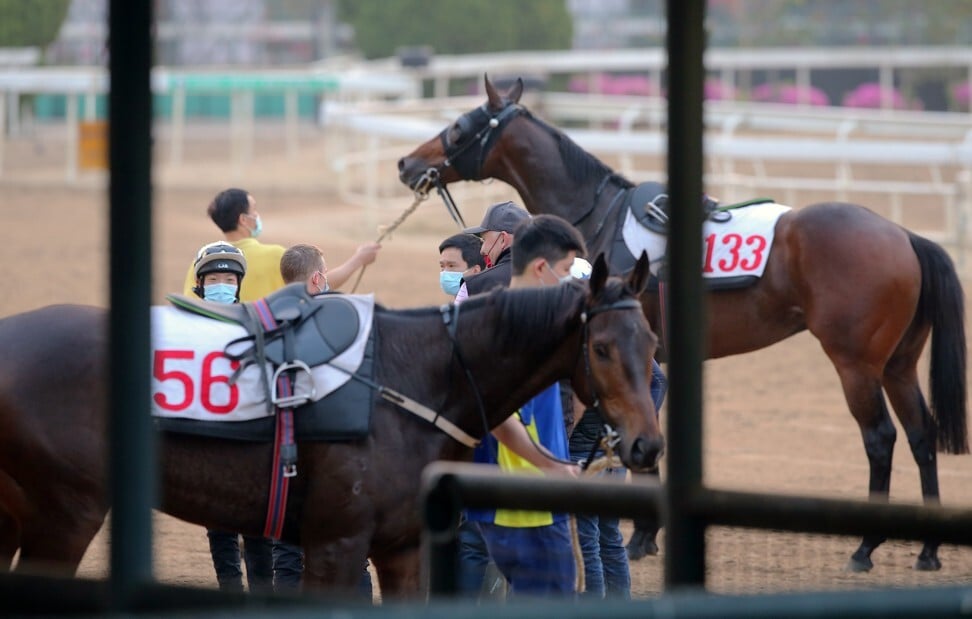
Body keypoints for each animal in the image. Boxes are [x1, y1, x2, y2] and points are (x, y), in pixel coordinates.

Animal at [0, 256, 660, 596]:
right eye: (602, 348)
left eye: (651, 341)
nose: (646, 443)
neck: (408, 374)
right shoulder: (335, 545)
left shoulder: (400, 547)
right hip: (68, 514)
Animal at [398, 72, 968, 572]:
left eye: (458, 126)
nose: (407, 162)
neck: (599, 218)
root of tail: (902, 235)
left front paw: (643, 536)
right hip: (897, 363)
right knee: (920, 435)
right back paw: (927, 549)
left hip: (856, 364)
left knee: (881, 439)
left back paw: (866, 546)